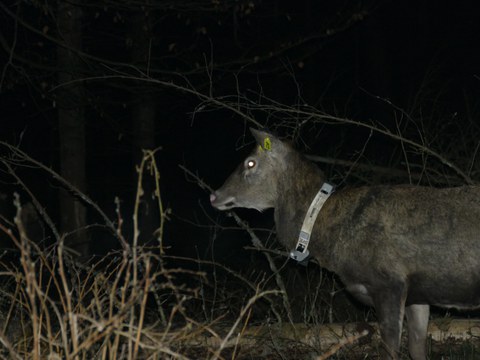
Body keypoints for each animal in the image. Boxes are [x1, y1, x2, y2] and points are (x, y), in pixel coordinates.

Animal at [211, 129, 480, 360]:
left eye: (250, 163)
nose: (214, 195)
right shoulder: (417, 295)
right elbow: (417, 349)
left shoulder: (388, 282)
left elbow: (391, 350)